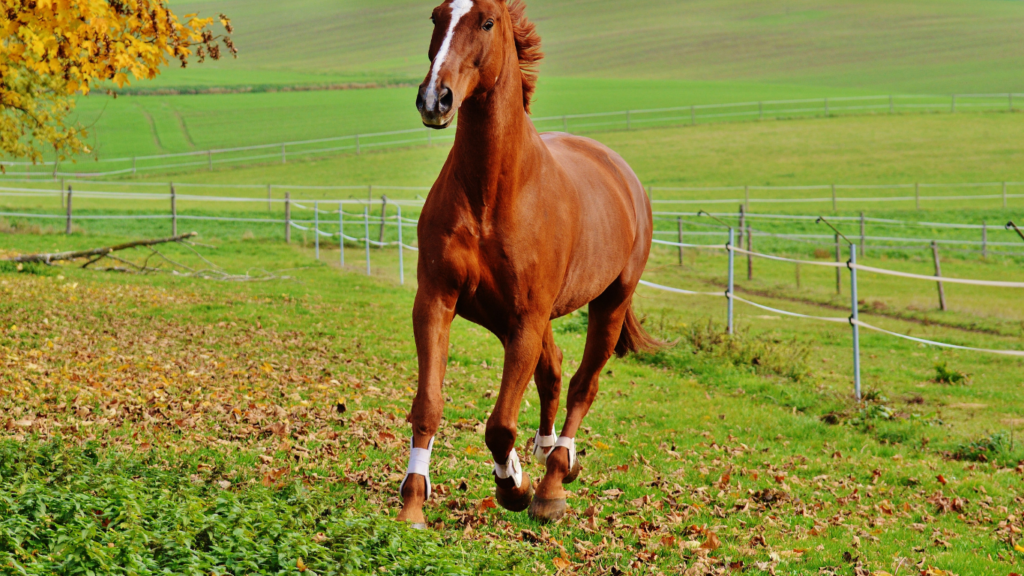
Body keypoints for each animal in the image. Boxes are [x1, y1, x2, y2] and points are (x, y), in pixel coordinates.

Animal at [395, 0, 651, 524]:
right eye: (436, 17)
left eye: (487, 21)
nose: (435, 99)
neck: (492, 194)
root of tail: (623, 174)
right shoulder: (437, 301)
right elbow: (428, 405)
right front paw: (412, 502)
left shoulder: (526, 317)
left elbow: (500, 425)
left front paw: (514, 487)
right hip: (514, 318)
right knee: (551, 371)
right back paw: (548, 455)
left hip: (608, 305)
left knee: (581, 385)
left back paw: (553, 482)